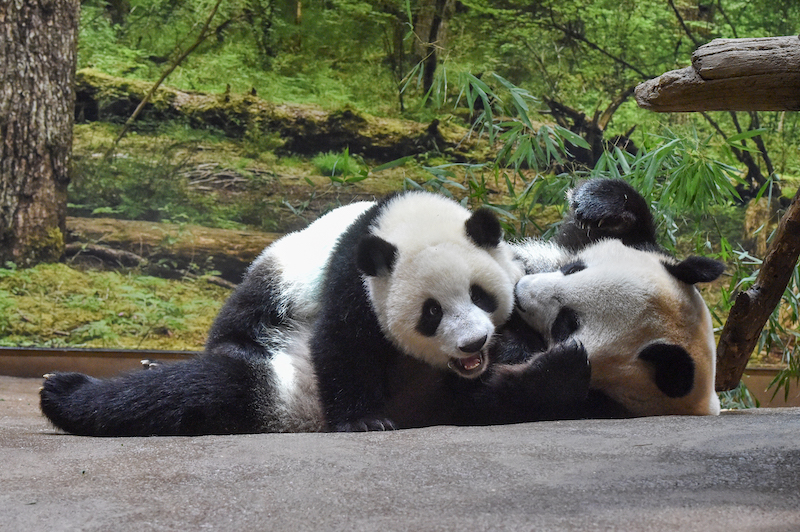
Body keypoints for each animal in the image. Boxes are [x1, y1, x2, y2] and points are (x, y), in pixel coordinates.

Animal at [39, 181, 724, 434]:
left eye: (566, 322)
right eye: (572, 274)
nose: (524, 296)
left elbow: (492, 402)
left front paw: (553, 366)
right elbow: (622, 227)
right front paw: (599, 203)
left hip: (292, 391)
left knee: (215, 389)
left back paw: (69, 392)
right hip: (280, 284)